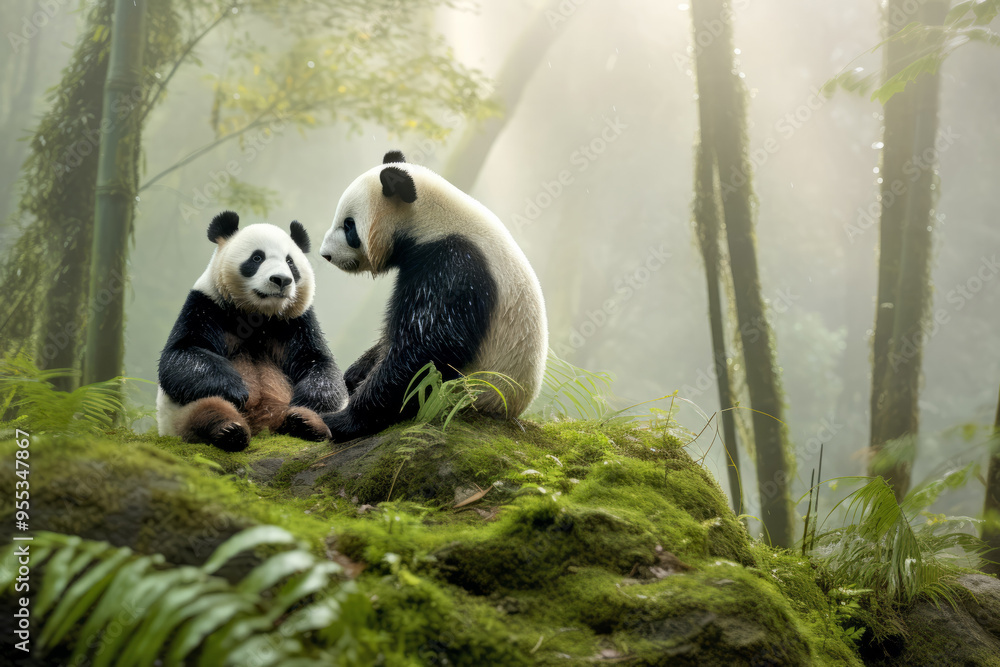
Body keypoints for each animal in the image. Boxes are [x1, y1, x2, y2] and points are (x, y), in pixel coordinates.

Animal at [156, 211, 348, 451]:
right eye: (257, 258)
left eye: (290, 261)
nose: (281, 280)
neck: (258, 315)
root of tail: (263, 428)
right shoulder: (205, 305)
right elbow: (182, 354)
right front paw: (236, 389)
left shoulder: (297, 321)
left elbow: (318, 361)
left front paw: (307, 401)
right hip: (181, 412)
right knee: (206, 408)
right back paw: (228, 430)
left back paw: (307, 422)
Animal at [318, 151, 547, 442]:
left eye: (349, 226)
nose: (326, 254)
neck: (432, 219)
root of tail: (510, 411)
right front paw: (354, 374)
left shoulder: (453, 262)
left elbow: (429, 346)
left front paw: (343, 419)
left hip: (460, 393)